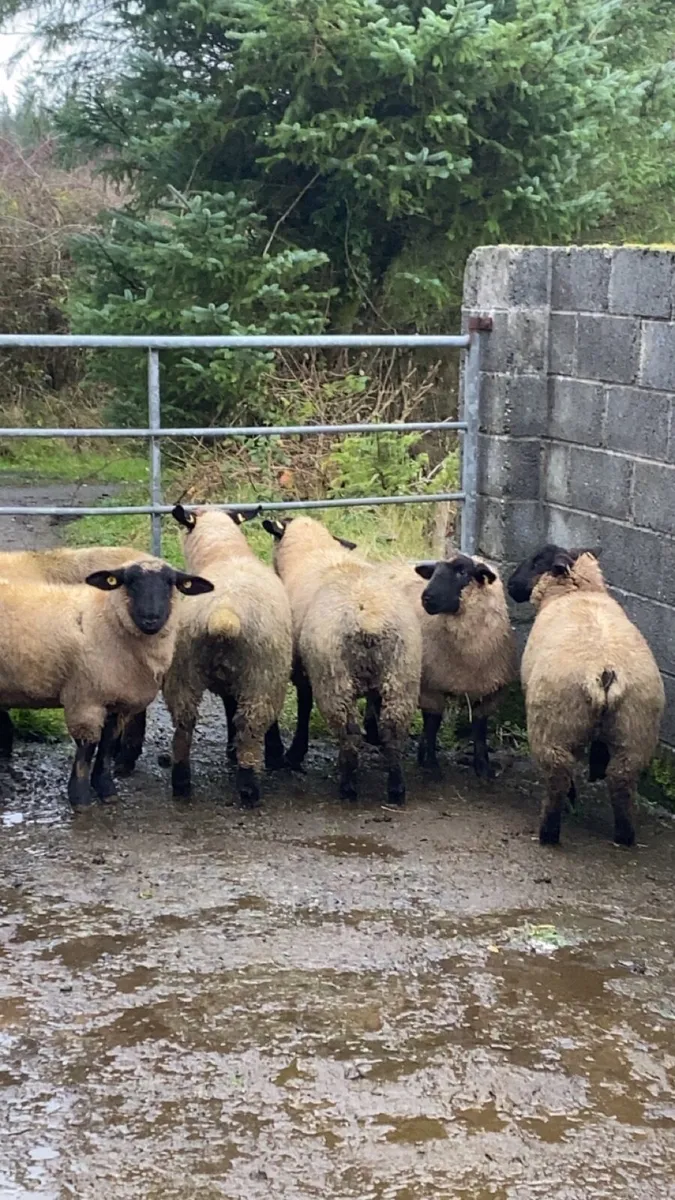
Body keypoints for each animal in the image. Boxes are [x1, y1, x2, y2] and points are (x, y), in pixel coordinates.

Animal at [163, 505, 293, 808]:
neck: (224, 553)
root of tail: (224, 615)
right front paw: (271, 753)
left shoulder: (229, 680)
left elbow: (229, 707)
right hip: (262, 672)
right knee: (252, 723)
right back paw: (249, 786)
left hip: (183, 670)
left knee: (184, 725)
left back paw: (181, 783)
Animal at [262, 515, 422, 804]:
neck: (314, 551)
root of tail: (370, 620)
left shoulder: (302, 668)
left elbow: (304, 706)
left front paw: (295, 753)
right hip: (402, 674)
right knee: (394, 729)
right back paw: (396, 787)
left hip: (333, 677)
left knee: (348, 732)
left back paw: (348, 785)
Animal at [365, 554, 518, 778]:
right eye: (434, 572)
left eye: (462, 572)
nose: (426, 598)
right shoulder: (430, 685)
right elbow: (432, 725)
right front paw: (430, 764)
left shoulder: (487, 691)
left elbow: (479, 730)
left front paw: (483, 767)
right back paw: (373, 736)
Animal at [507, 544, 665, 846]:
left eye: (536, 561)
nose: (509, 585)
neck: (577, 591)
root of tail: (604, 671)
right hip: (635, 728)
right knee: (621, 777)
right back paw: (625, 835)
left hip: (554, 727)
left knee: (559, 774)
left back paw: (549, 831)